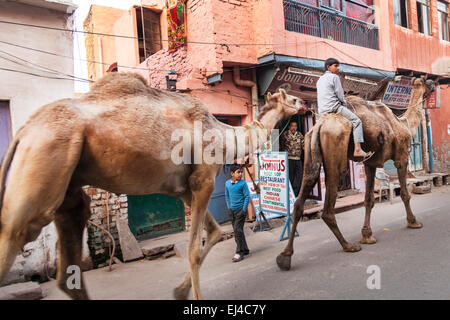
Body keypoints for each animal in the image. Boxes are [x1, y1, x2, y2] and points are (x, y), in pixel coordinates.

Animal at [0, 72, 302, 300]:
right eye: (294, 99)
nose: (305, 106)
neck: (224, 134)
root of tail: (23, 133)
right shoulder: (203, 180)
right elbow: (194, 248)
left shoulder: (184, 190)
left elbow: (215, 232)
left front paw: (179, 291)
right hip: (46, 156)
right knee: (17, 232)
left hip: (68, 191)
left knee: (66, 272)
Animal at [276, 77, 438, 270]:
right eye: (426, 82)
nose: (433, 83)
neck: (403, 124)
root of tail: (319, 125)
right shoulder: (401, 157)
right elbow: (405, 194)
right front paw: (413, 222)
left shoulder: (370, 164)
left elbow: (368, 200)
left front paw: (367, 235)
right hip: (335, 153)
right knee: (328, 208)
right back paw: (348, 246)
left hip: (309, 151)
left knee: (301, 198)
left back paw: (285, 256)